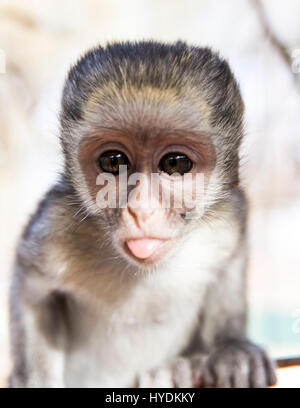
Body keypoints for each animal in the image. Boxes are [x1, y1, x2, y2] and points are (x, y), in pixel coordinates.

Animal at [8, 41, 276, 388]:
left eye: (175, 163)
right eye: (113, 161)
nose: (142, 209)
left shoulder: (228, 217)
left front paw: (231, 347)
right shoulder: (57, 225)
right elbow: (32, 288)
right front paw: (34, 379)